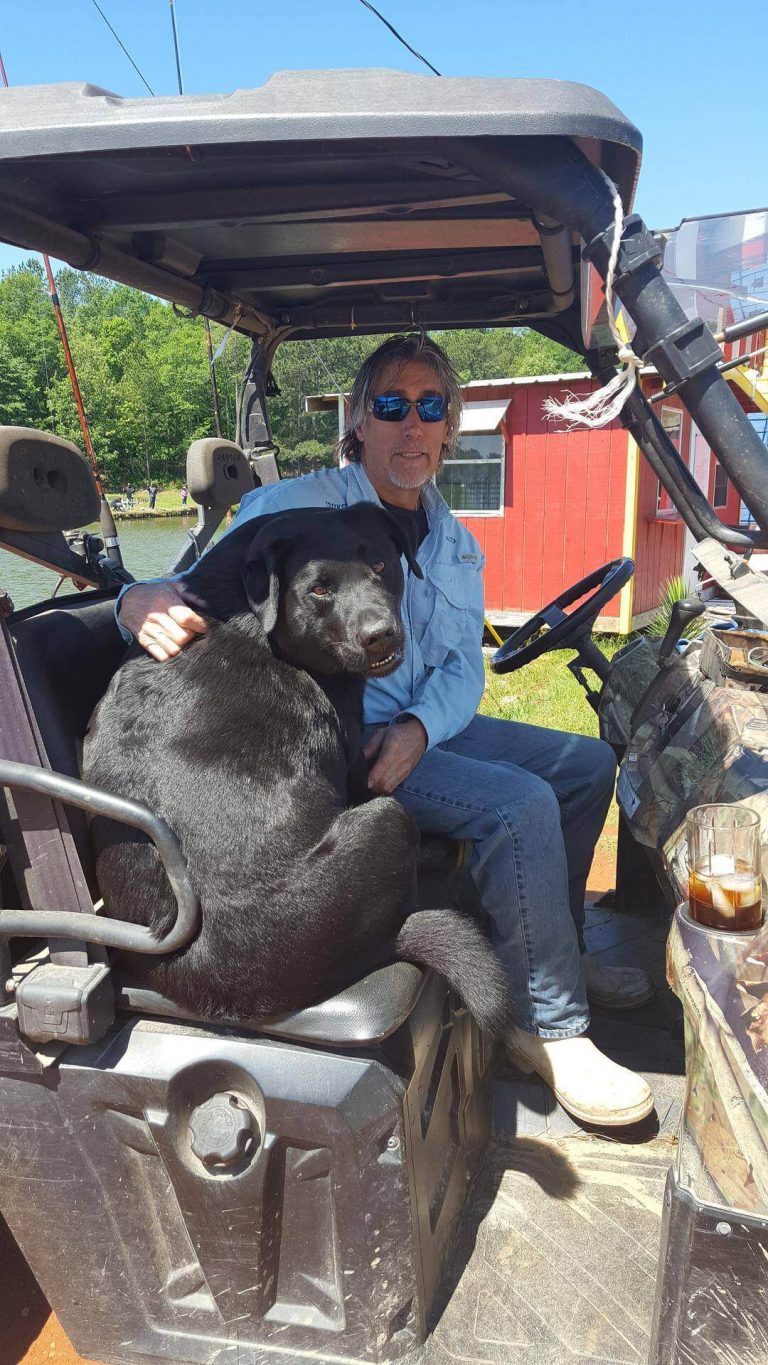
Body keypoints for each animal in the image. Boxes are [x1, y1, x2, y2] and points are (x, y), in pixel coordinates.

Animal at [84, 507, 510, 1026]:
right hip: (385, 820)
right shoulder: (354, 762)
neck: (253, 617)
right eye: (319, 589)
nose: (380, 636)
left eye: (381, 565)